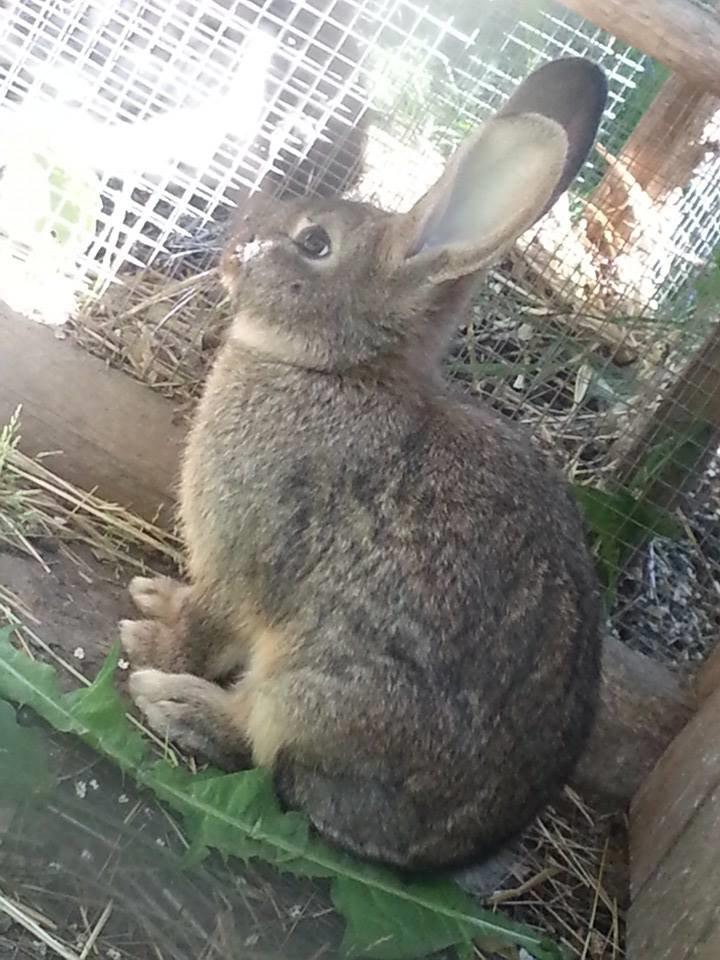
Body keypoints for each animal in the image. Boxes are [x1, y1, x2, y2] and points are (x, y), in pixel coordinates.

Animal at [122, 56, 608, 872]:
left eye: (315, 243)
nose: (232, 247)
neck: (336, 371)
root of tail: (444, 851)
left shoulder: (245, 561)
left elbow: (207, 627)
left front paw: (149, 644)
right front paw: (155, 597)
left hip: (316, 693)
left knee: (263, 753)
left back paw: (177, 704)